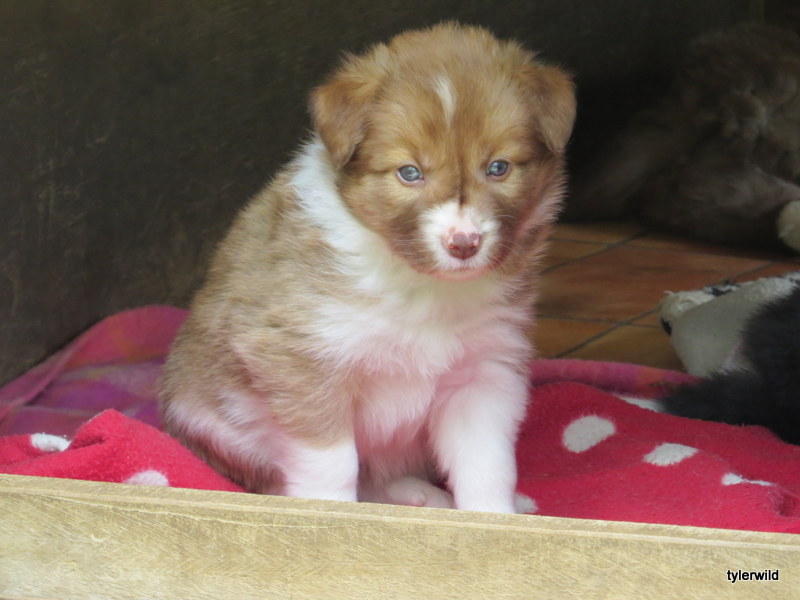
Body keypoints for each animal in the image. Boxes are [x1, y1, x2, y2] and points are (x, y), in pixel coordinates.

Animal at [158, 23, 575, 513]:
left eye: (498, 168)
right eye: (409, 172)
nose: (464, 244)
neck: (418, 284)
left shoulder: (483, 371)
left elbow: (487, 465)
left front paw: (495, 518)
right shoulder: (303, 359)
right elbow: (333, 464)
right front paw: (332, 516)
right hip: (212, 420)